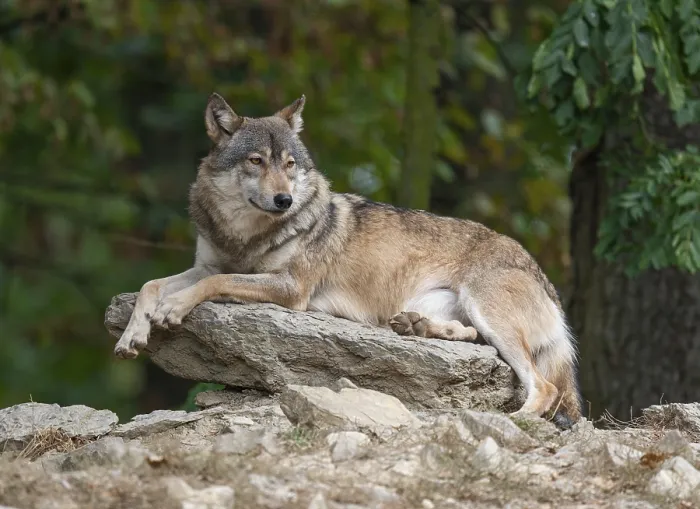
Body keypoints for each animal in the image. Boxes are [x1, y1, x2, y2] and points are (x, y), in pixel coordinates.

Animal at [113, 93, 583, 426]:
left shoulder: (291, 288)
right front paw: (132, 335)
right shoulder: (209, 264)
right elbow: (152, 285)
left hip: (486, 308)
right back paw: (418, 327)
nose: (284, 201)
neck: (245, 236)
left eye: (289, 164)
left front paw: (174, 308)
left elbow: (211, 286)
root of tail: (543, 276)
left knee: (544, 388)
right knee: (470, 338)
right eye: (256, 161)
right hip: (457, 311)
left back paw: (514, 418)